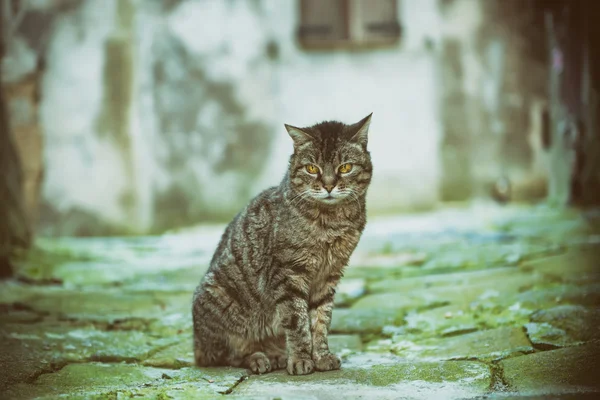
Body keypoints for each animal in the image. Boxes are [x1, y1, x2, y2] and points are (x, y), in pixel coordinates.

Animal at [192, 112, 372, 376]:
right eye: (311, 168)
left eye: (345, 167)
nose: (329, 185)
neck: (332, 222)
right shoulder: (288, 274)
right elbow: (297, 321)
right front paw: (300, 359)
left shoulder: (329, 275)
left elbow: (320, 321)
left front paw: (321, 356)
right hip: (217, 298)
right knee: (225, 354)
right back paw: (258, 358)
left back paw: (276, 355)